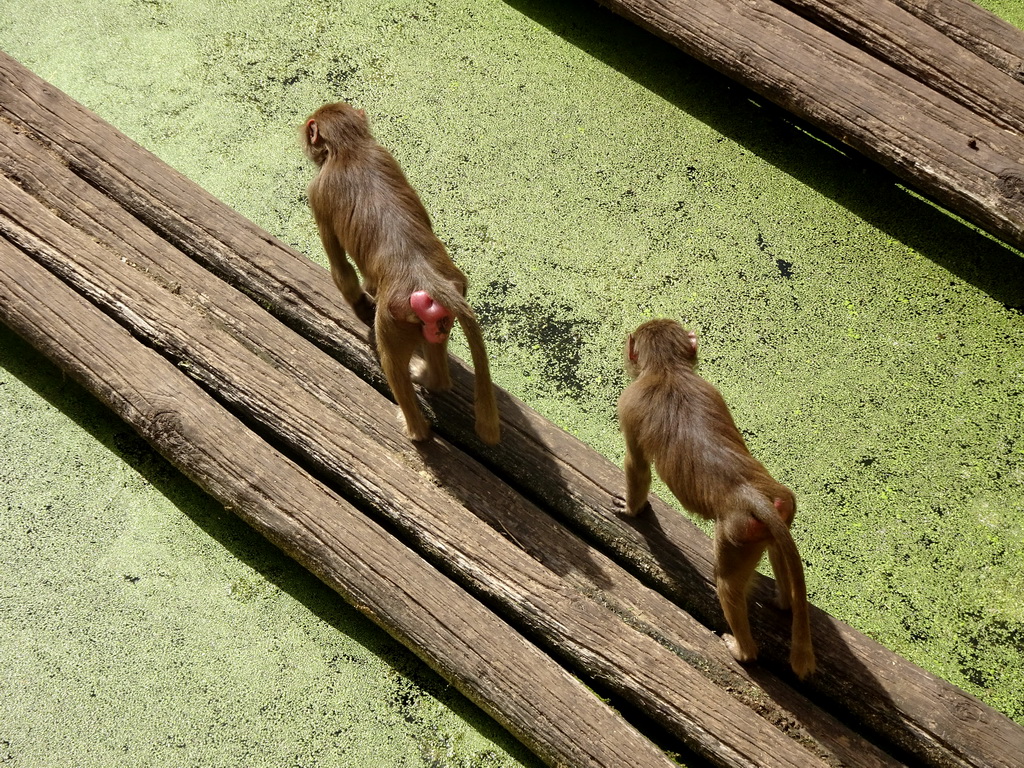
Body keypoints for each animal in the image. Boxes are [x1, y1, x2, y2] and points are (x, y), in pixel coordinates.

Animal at [299, 105, 499, 448]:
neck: (349, 149)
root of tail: (427, 278)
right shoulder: (385, 153)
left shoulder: (318, 192)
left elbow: (341, 270)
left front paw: (359, 302)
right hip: (436, 314)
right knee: (434, 350)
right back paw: (432, 378)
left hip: (395, 319)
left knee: (391, 360)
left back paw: (414, 429)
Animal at [614, 319, 815, 679]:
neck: (667, 370)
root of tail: (750, 494)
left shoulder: (629, 403)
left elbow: (636, 466)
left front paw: (631, 508)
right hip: (776, 513)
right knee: (775, 549)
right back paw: (785, 601)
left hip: (736, 535)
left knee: (727, 585)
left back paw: (742, 650)